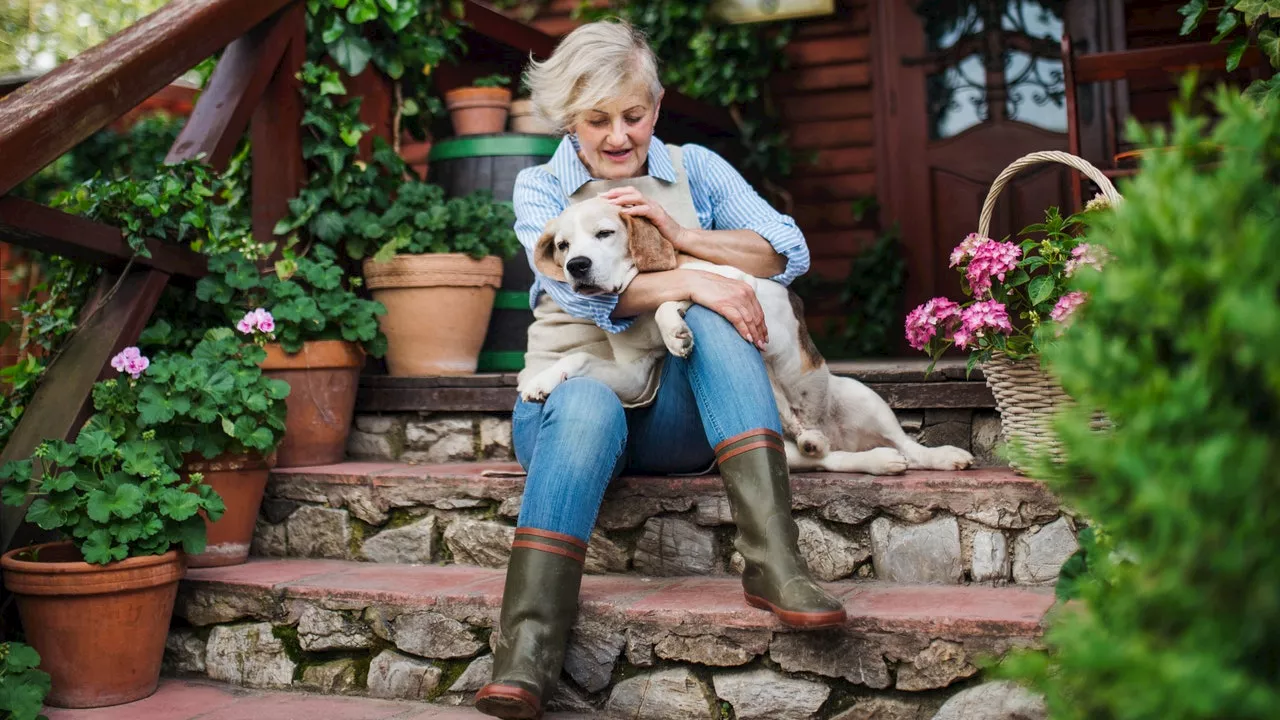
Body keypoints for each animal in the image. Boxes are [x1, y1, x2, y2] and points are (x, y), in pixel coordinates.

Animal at [519, 198, 967, 474]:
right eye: (563, 245)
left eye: (605, 234)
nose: (577, 266)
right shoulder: (633, 375)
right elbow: (578, 358)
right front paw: (543, 380)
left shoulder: (749, 295)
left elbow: (684, 295)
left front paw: (675, 329)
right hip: (794, 446)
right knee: (827, 458)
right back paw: (847, 453)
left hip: (863, 395)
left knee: (910, 448)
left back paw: (944, 456)